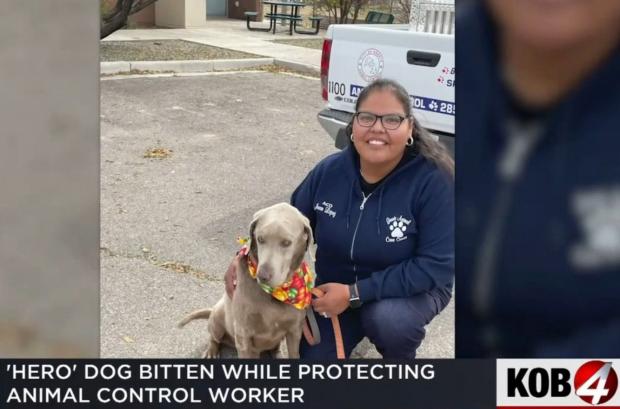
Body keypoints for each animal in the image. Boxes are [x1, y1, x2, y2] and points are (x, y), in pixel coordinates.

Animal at [179, 202, 314, 356]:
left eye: (286, 242)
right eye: (260, 239)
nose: (262, 276)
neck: (279, 292)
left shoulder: (294, 331)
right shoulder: (244, 335)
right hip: (218, 318)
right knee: (214, 337)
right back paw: (211, 351)